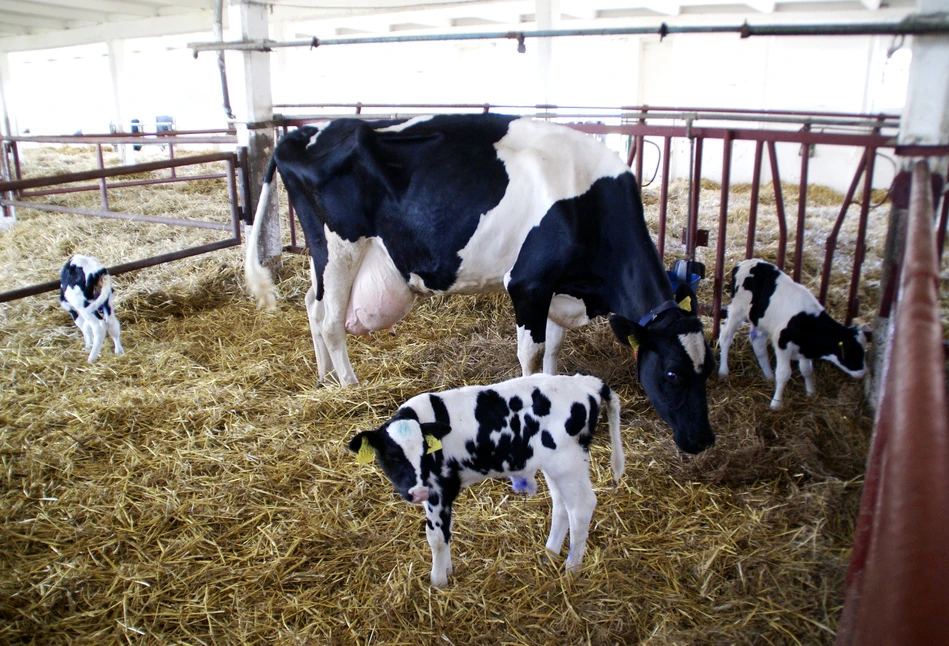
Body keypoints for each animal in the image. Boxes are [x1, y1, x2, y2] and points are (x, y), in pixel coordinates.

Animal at [248, 112, 716, 456]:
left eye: (708, 368)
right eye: (672, 373)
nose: (703, 440)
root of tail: (305, 132)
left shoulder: (558, 287)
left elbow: (554, 348)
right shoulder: (528, 282)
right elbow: (532, 352)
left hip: (323, 258)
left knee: (313, 306)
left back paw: (324, 377)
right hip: (340, 246)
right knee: (331, 322)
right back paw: (349, 387)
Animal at [348, 372, 624, 588]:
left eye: (424, 451)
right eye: (391, 456)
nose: (417, 492)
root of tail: (586, 383)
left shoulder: (439, 488)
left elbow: (436, 536)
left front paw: (438, 582)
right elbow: (445, 532)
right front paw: (447, 571)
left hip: (569, 462)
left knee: (582, 506)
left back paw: (571, 570)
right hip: (555, 465)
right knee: (561, 505)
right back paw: (549, 555)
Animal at [720, 260, 868, 408]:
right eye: (850, 353)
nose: (863, 373)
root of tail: (744, 263)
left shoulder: (803, 348)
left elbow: (807, 370)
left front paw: (811, 392)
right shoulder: (782, 343)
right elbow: (784, 373)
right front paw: (776, 403)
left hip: (762, 320)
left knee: (757, 341)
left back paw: (769, 376)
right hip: (737, 310)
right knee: (726, 336)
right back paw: (723, 370)